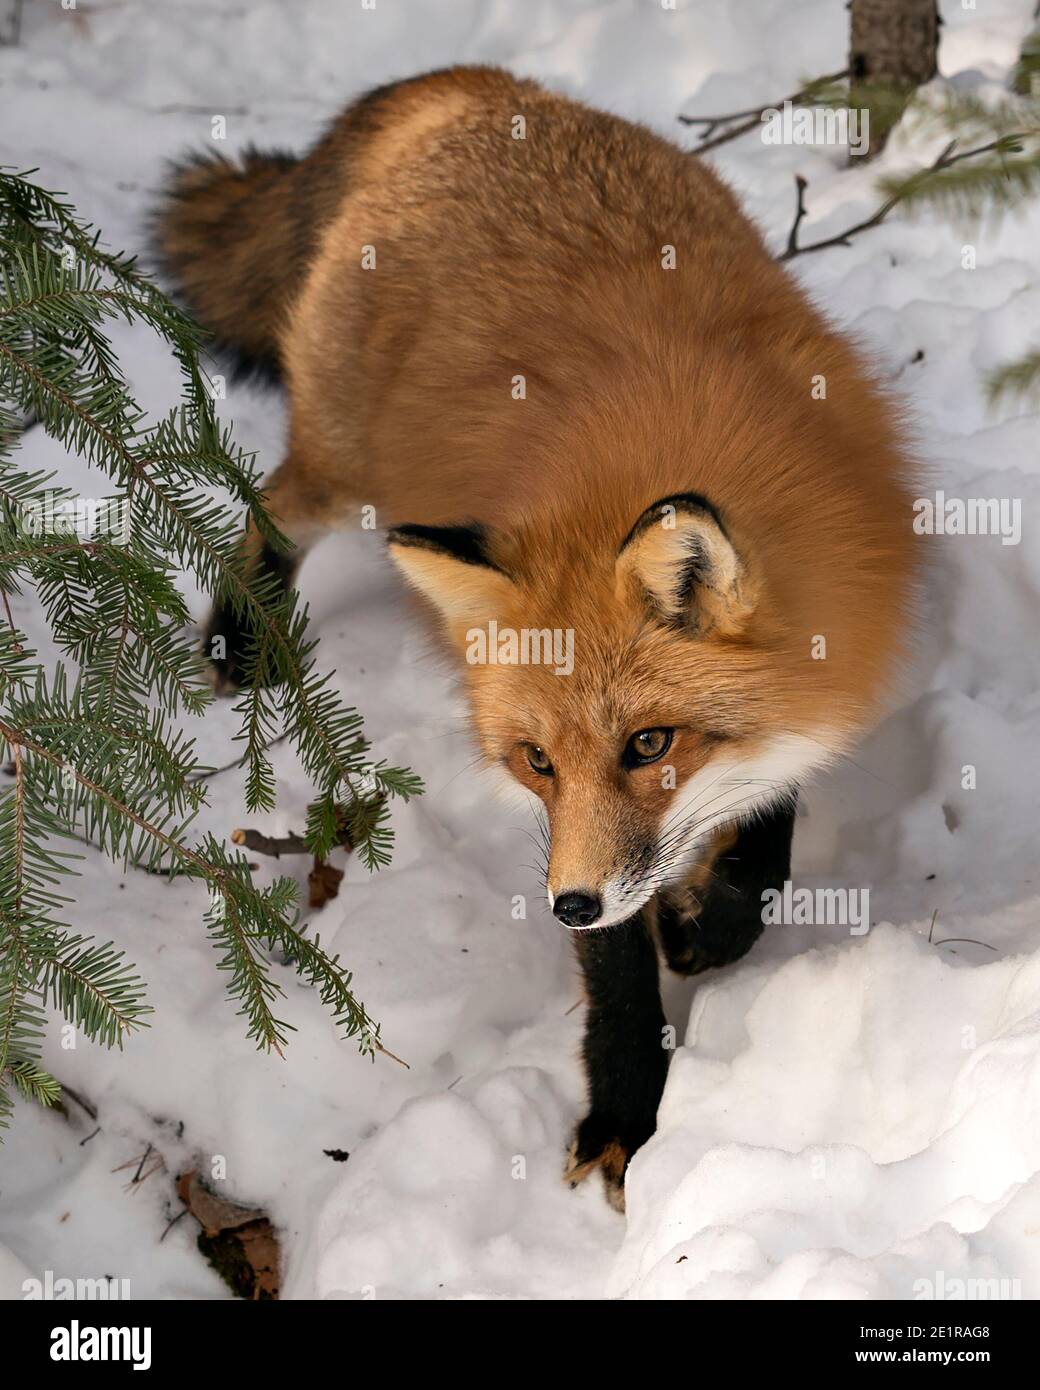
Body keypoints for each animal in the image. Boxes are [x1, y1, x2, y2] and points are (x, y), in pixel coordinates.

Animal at [154, 70, 917, 1212]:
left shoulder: (819, 667)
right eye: (536, 763)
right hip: (346, 470)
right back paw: (242, 646)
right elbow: (617, 974)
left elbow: (769, 834)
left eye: (650, 745)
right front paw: (623, 1117)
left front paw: (709, 920)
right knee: (268, 505)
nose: (567, 904)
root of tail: (467, 89)